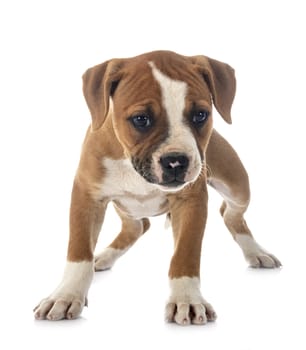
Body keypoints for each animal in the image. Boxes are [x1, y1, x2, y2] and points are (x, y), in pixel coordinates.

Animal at [34, 50, 282, 326]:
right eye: (141, 119)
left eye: (200, 115)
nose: (175, 161)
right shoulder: (87, 195)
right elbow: (78, 251)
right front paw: (66, 295)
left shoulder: (191, 200)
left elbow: (185, 252)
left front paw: (187, 299)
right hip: (126, 205)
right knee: (138, 226)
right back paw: (104, 256)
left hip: (238, 185)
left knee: (230, 213)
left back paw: (256, 252)